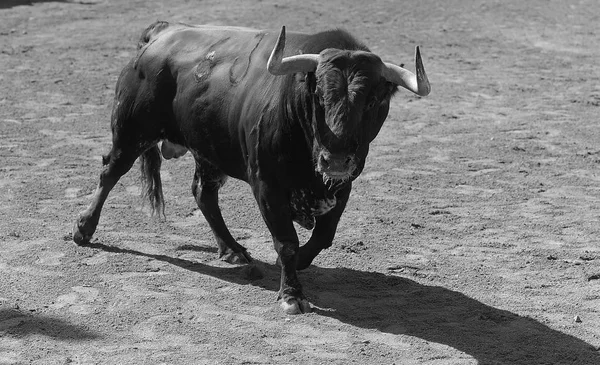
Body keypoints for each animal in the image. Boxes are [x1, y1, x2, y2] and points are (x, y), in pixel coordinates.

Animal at [74, 21, 432, 314]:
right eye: (318, 95)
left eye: (372, 101)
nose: (336, 159)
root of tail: (162, 34)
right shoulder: (267, 186)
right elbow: (286, 242)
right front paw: (291, 295)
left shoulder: (342, 187)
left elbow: (322, 237)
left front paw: (299, 263)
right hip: (131, 132)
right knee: (109, 173)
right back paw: (84, 228)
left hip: (207, 150)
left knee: (203, 194)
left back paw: (232, 250)